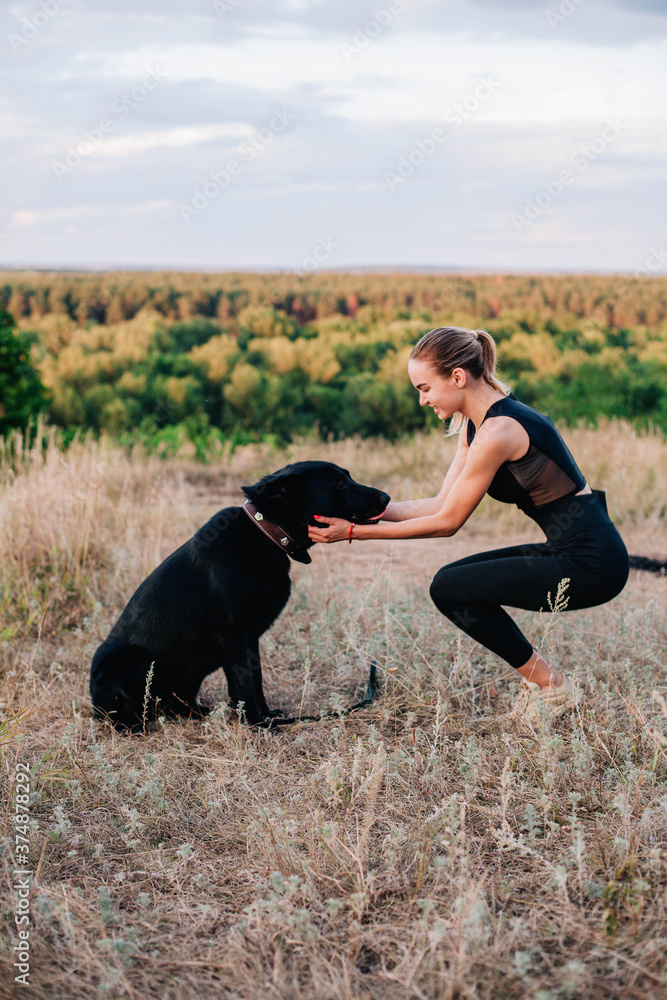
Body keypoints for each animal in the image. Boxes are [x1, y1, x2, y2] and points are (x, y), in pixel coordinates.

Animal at [90, 464, 392, 732]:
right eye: (340, 483)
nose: (387, 498)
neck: (266, 534)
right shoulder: (234, 638)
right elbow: (245, 686)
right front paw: (258, 725)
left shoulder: (251, 638)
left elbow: (255, 682)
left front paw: (265, 716)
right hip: (130, 661)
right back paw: (134, 726)